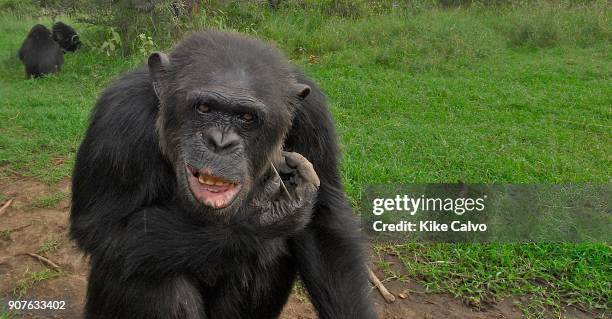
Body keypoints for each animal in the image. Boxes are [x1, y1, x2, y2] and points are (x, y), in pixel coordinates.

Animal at [71, 30, 378, 319]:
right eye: (204, 108)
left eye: (247, 117)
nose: (220, 142)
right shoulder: (118, 119)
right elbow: (104, 228)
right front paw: (260, 217)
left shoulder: (314, 116)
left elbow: (324, 223)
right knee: (150, 277)